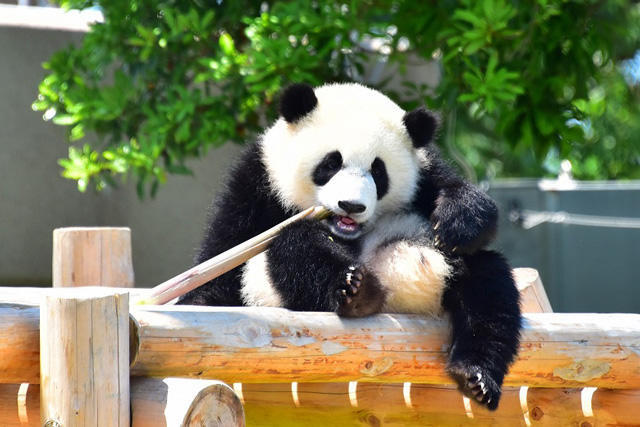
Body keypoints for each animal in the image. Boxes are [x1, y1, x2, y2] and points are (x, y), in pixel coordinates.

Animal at [178, 83, 524, 412]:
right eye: (331, 163)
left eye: (378, 171)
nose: (351, 205)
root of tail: (396, 295)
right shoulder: (257, 183)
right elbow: (223, 257)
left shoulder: (425, 174)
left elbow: (469, 203)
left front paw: (459, 219)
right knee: (294, 247)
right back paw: (355, 289)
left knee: (487, 289)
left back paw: (476, 375)